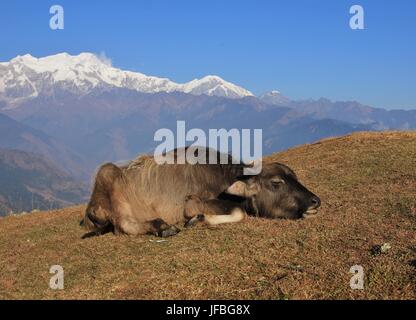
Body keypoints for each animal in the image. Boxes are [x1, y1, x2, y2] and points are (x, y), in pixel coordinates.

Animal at [81, 148, 322, 238]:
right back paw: (163, 227)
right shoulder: (195, 202)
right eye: (276, 183)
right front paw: (199, 219)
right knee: (123, 225)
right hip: (107, 174)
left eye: (295, 178)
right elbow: (239, 213)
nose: (315, 201)